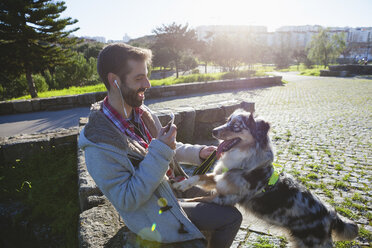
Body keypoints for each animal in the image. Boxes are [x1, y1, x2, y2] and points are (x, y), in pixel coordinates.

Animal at [173, 109, 358, 248]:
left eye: (236, 126)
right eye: (227, 120)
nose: (213, 131)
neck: (245, 161)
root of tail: (330, 215)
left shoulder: (226, 198)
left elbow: (196, 198)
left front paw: (181, 202)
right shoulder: (222, 178)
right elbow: (199, 176)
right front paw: (180, 185)